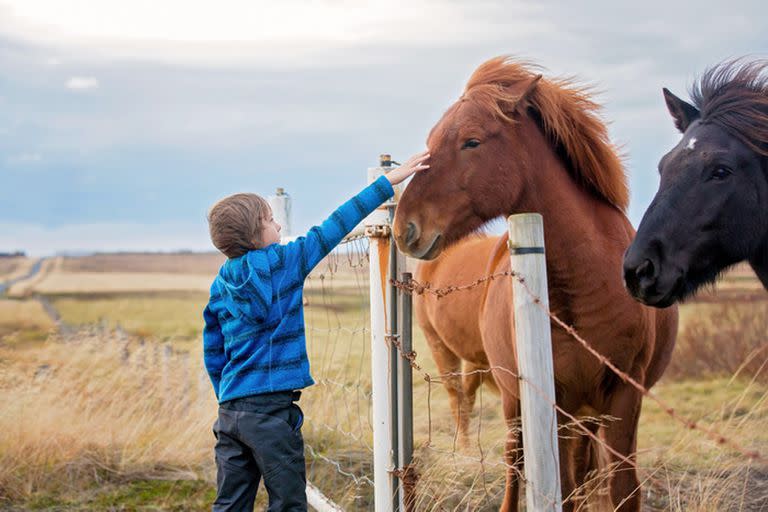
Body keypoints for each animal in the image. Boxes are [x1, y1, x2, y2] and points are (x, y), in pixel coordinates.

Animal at [396, 58, 680, 510]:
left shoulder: (622, 397)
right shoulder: (550, 400)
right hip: (488, 381)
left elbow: (618, 487)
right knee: (496, 439)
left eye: (471, 142)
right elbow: (554, 484)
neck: (582, 287)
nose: (404, 227)